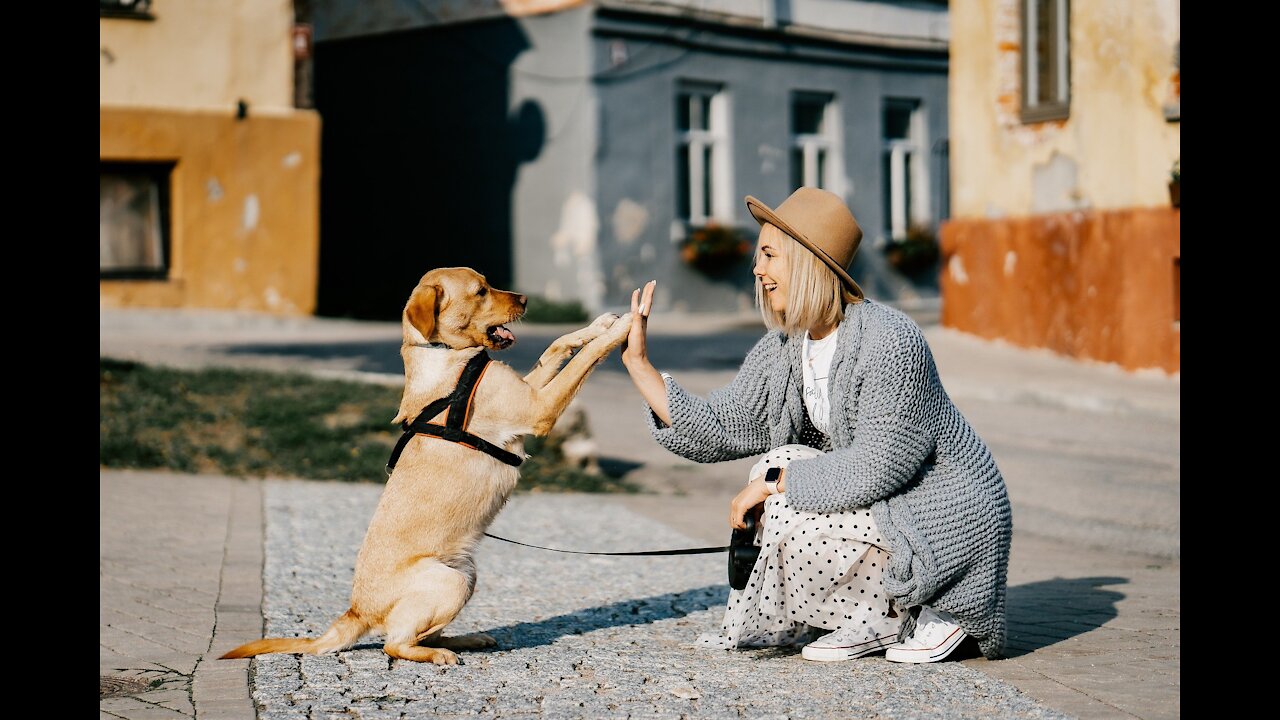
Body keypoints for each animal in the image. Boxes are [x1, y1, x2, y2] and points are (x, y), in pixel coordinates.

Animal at [227, 265, 637, 661]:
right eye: (480, 291)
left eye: (488, 283)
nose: (524, 298)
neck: (445, 355)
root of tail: (356, 611)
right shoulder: (539, 407)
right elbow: (585, 359)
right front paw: (624, 327)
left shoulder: (530, 390)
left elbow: (557, 346)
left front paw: (599, 324)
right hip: (450, 581)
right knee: (395, 643)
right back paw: (438, 654)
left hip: (466, 574)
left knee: (421, 633)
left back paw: (465, 640)